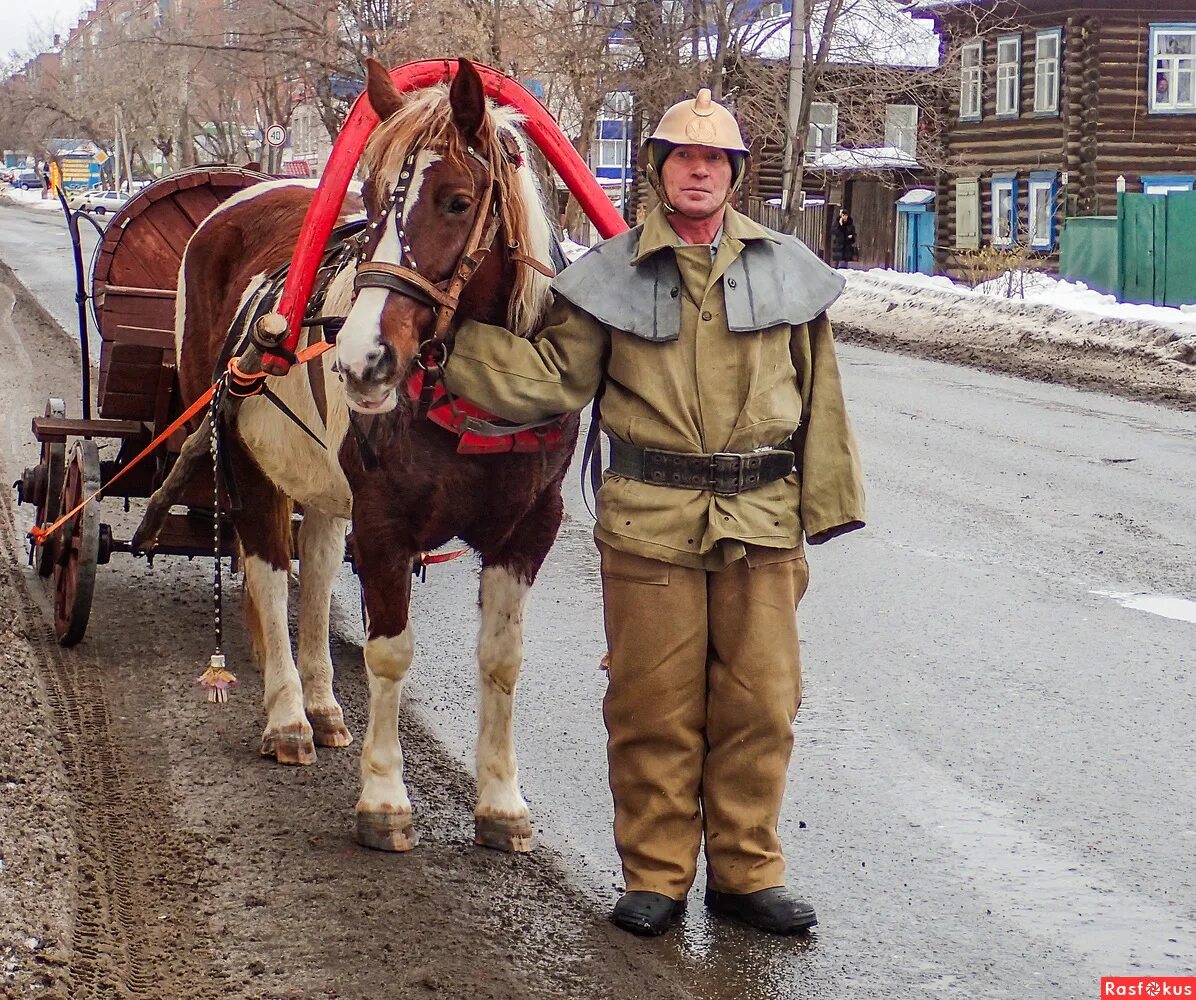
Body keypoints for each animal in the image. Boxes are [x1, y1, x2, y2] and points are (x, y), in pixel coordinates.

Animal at [174, 56, 578, 851]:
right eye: (366, 196)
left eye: (456, 201)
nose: (361, 360)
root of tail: (241, 197)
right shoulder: (387, 523)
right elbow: (390, 650)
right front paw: (385, 798)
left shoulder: (528, 530)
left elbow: (503, 659)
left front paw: (501, 801)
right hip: (246, 459)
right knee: (270, 573)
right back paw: (288, 716)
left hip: (326, 484)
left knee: (320, 566)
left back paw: (323, 704)